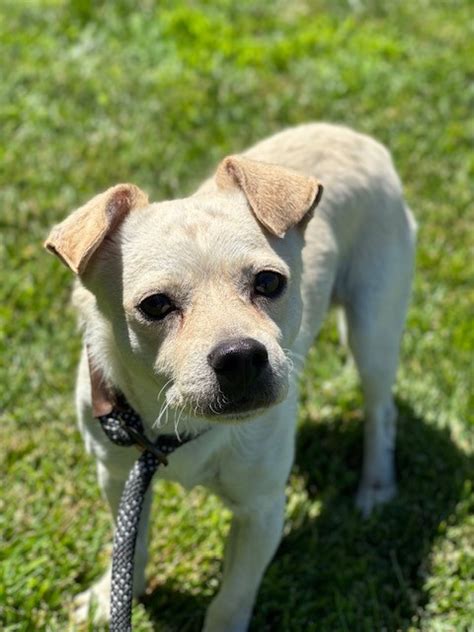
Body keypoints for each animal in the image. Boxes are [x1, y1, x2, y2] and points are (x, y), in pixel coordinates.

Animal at [44, 123, 414, 632]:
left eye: (269, 282)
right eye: (155, 305)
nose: (240, 356)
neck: (178, 426)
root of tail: (352, 134)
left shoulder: (261, 511)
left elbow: (231, 598)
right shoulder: (119, 477)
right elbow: (129, 546)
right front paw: (110, 597)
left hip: (373, 327)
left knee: (381, 410)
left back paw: (376, 488)